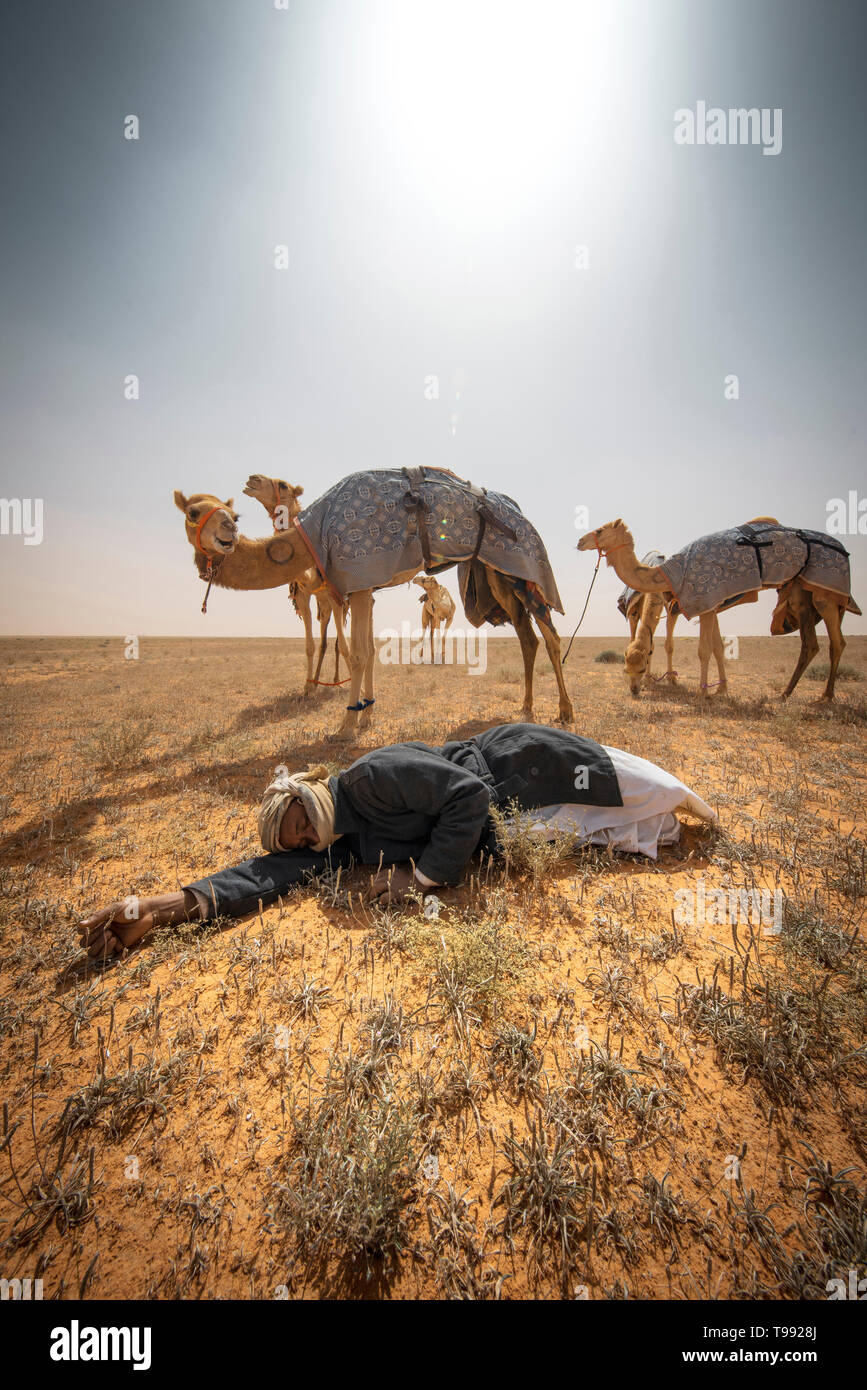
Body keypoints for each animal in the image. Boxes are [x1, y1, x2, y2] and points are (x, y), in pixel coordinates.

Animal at [241, 475, 350, 692]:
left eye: (283, 485)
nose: (253, 479)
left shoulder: (334, 596)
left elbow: (343, 646)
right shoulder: (303, 595)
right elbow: (310, 646)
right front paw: (307, 687)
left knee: (343, 641)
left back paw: (337, 681)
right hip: (323, 606)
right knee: (324, 642)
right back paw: (318, 682)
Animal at [578, 517, 855, 700]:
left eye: (600, 530)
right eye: (624, 668)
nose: (580, 540)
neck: (668, 572)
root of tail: (842, 549)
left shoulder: (705, 602)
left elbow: (704, 650)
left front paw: (702, 693)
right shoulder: (705, 606)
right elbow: (717, 648)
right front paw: (721, 688)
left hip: (826, 593)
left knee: (836, 642)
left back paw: (826, 696)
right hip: (800, 593)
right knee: (811, 643)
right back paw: (786, 694)